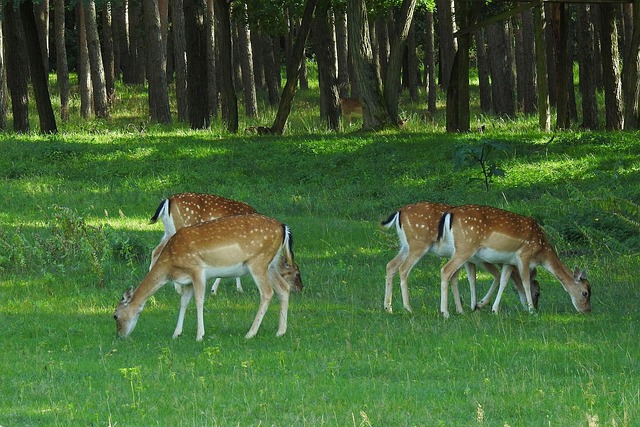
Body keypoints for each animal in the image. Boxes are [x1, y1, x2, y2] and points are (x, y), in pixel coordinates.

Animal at [114, 214, 302, 342]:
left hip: (258, 261)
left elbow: (199, 300)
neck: (170, 266)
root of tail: (284, 227)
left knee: (267, 292)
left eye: (115, 315)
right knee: (284, 288)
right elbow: (183, 302)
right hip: (271, 264)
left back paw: (250, 333)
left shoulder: (197, 269)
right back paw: (280, 331)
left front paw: (199, 335)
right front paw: (176, 334)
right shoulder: (186, 280)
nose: (120, 335)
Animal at [380, 202, 540, 316]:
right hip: (418, 245)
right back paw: (408, 308)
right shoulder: (479, 259)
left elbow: (463, 278)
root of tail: (399, 212)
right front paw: (476, 305)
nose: (534, 306)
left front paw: (466, 307)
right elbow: (494, 275)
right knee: (403, 268)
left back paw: (388, 307)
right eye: (537, 292)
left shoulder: (469, 260)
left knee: (391, 265)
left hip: (405, 246)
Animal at [438, 206, 592, 320]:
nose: (587, 310)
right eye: (585, 293)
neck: (542, 251)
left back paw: (460, 310)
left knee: (454, 274)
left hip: (460, 250)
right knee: (445, 270)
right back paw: (445, 313)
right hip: (466, 247)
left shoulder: (509, 262)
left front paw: (494, 310)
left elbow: (504, 281)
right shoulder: (524, 256)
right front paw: (532, 311)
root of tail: (450, 214)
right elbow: (525, 283)